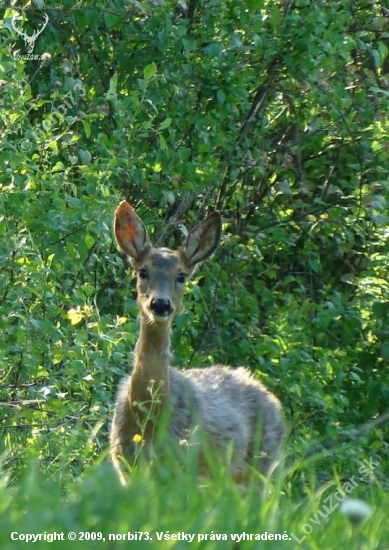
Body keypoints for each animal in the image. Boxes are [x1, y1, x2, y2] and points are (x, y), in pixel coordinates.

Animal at [110, 202, 284, 484]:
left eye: (181, 276)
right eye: (142, 271)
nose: (160, 304)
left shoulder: (182, 465)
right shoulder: (125, 464)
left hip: (262, 463)